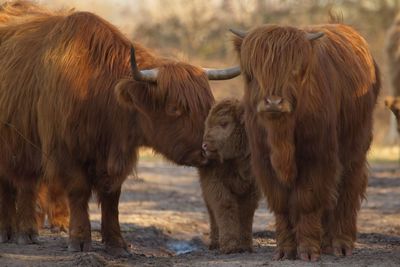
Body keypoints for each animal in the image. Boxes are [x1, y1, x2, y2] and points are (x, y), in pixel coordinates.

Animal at [0, 2, 238, 258]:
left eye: (208, 105)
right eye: (175, 108)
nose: (208, 150)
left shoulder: (116, 157)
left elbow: (111, 197)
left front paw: (116, 243)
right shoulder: (66, 151)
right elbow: (78, 192)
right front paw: (79, 240)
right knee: (17, 185)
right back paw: (17, 232)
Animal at [199, 99, 260, 254]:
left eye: (224, 123)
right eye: (207, 124)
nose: (205, 145)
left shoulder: (252, 189)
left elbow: (246, 212)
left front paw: (245, 245)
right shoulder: (215, 186)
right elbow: (225, 207)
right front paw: (229, 246)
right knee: (212, 215)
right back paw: (215, 243)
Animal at [230, 23, 380, 262]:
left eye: (293, 69)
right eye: (252, 72)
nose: (273, 102)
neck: (281, 137)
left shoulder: (316, 156)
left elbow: (307, 200)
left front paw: (308, 250)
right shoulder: (263, 162)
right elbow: (281, 203)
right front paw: (285, 250)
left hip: (355, 147)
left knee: (348, 187)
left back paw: (341, 244)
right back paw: (326, 243)